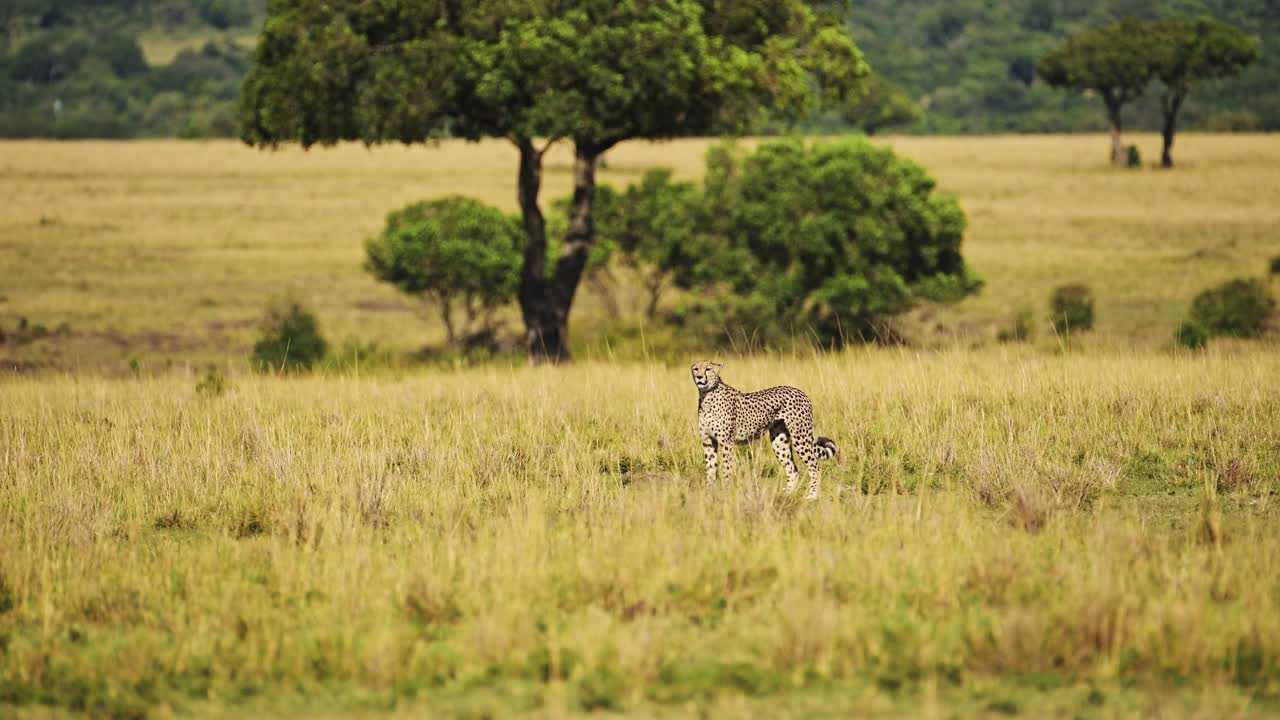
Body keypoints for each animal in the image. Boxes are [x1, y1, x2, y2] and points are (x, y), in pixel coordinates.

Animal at [691, 360, 837, 499]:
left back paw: (812, 496)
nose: (699, 377)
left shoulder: (727, 443)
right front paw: (709, 493)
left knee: (815, 466)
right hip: (779, 442)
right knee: (792, 470)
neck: (707, 396)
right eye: (696, 369)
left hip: (800, 437)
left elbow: (726, 470)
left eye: (708, 369)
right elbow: (710, 469)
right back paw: (787, 495)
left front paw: (725, 493)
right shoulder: (708, 442)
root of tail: (801, 392)